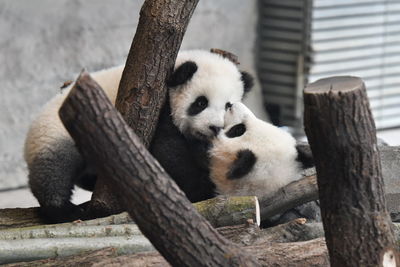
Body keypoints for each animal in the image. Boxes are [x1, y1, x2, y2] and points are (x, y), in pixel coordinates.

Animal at [24, 49, 253, 223]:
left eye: (228, 105)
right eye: (200, 102)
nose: (215, 127)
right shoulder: (158, 110)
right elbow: (169, 156)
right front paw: (202, 189)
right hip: (56, 134)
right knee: (54, 171)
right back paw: (65, 210)